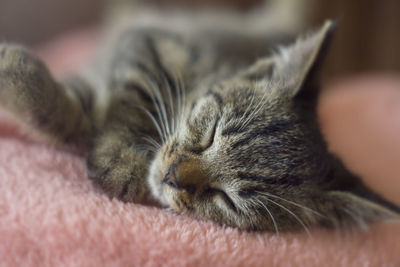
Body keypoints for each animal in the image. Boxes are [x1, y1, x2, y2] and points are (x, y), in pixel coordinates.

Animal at [0, 6, 398, 232]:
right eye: (210, 131)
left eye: (227, 199)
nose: (172, 175)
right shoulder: (152, 43)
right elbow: (134, 95)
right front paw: (122, 159)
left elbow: (69, 121)